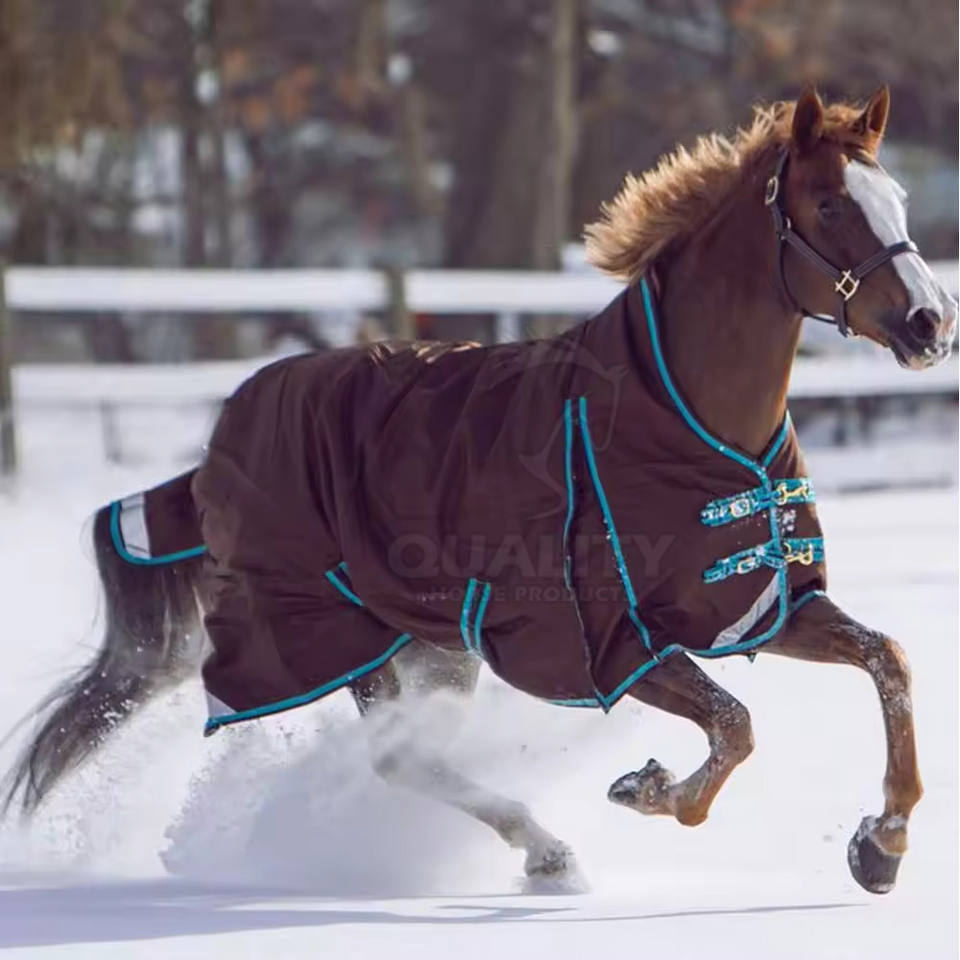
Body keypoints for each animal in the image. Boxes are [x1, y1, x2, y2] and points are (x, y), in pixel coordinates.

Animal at [4, 87, 955, 896]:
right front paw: (645, 787)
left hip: (433, 647)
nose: (930, 323)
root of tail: (218, 444)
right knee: (397, 758)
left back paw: (543, 851)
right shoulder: (615, 643)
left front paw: (882, 847)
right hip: (340, 637)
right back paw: (550, 852)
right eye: (830, 204)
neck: (686, 418)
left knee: (408, 755)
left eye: (898, 197)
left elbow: (888, 659)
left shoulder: (760, 606)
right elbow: (735, 725)